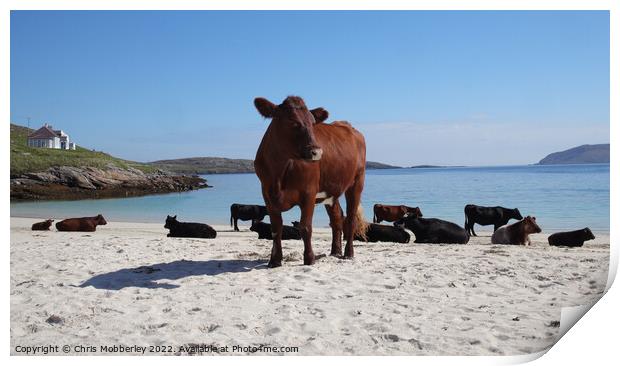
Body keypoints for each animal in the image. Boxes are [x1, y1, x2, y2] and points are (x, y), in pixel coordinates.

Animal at [253, 96, 368, 268]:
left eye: (312, 123)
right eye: (291, 121)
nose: (316, 152)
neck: (279, 172)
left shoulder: (308, 193)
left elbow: (305, 227)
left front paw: (309, 259)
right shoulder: (267, 194)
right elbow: (276, 228)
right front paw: (275, 260)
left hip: (357, 182)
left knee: (351, 219)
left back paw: (348, 253)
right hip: (331, 189)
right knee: (337, 218)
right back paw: (335, 251)